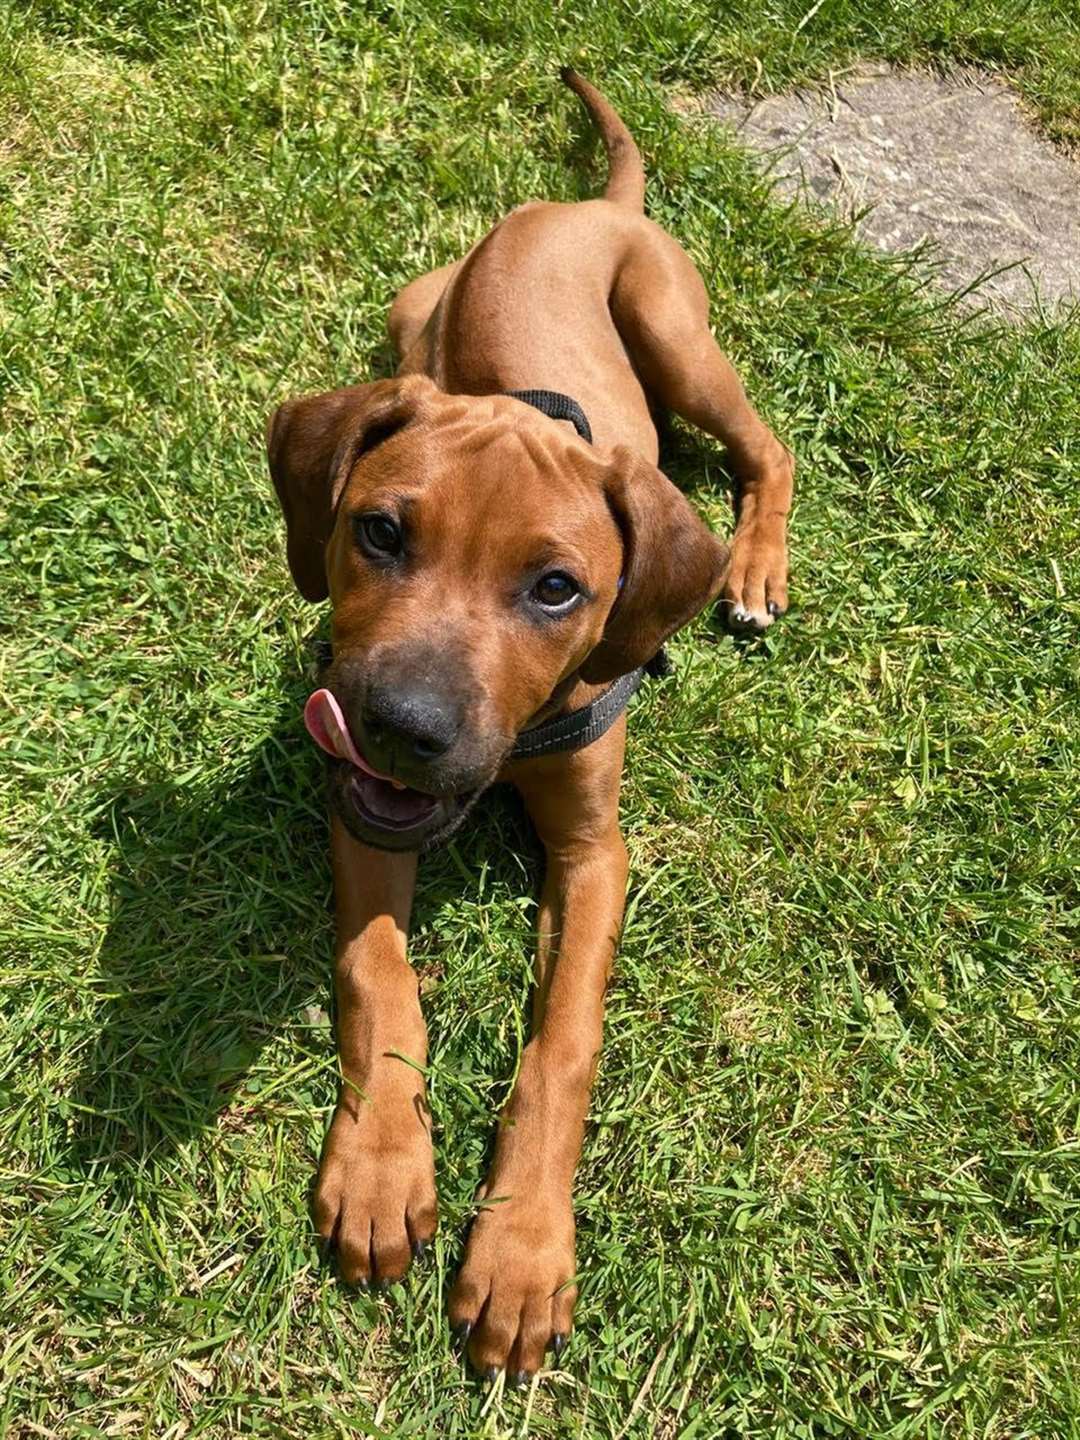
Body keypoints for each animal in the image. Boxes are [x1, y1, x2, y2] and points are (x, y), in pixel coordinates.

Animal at [269, 70, 794, 1382]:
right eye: (378, 531)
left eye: (557, 589)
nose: (401, 726)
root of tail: (587, 204)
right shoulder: (364, 812)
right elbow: (379, 975)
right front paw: (380, 1167)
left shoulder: (597, 852)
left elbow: (563, 1046)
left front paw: (517, 1255)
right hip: (415, 307)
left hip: (673, 328)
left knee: (765, 443)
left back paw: (754, 563)